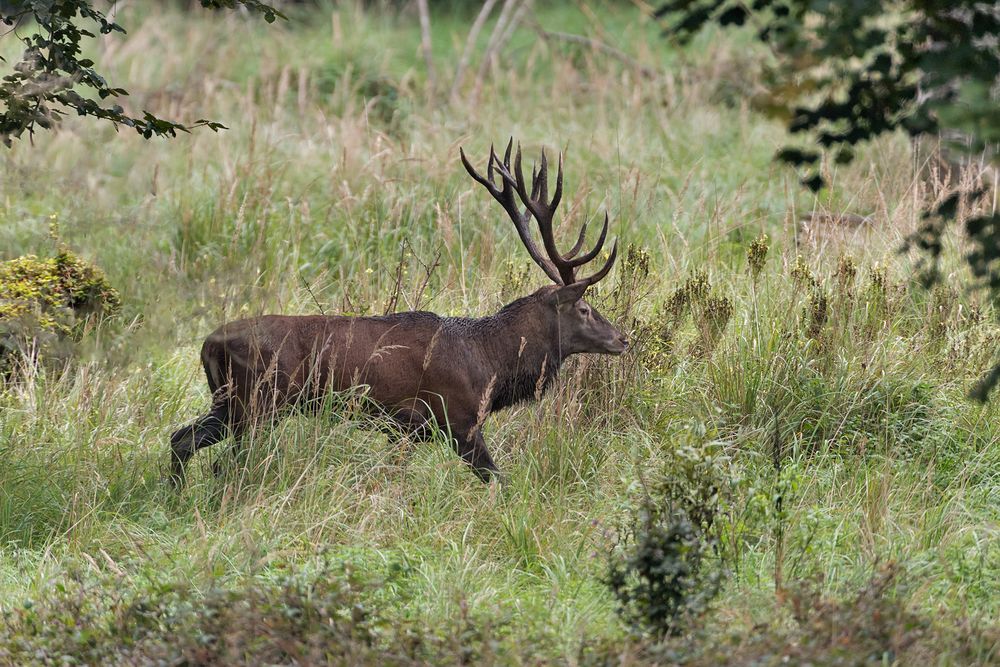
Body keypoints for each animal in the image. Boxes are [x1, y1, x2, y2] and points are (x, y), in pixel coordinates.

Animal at [171, 140, 624, 486]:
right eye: (585, 308)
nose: (623, 338)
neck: (491, 364)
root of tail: (207, 345)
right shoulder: (456, 420)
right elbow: (499, 479)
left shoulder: (405, 430)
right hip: (260, 403)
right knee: (222, 462)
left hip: (228, 404)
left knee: (180, 438)